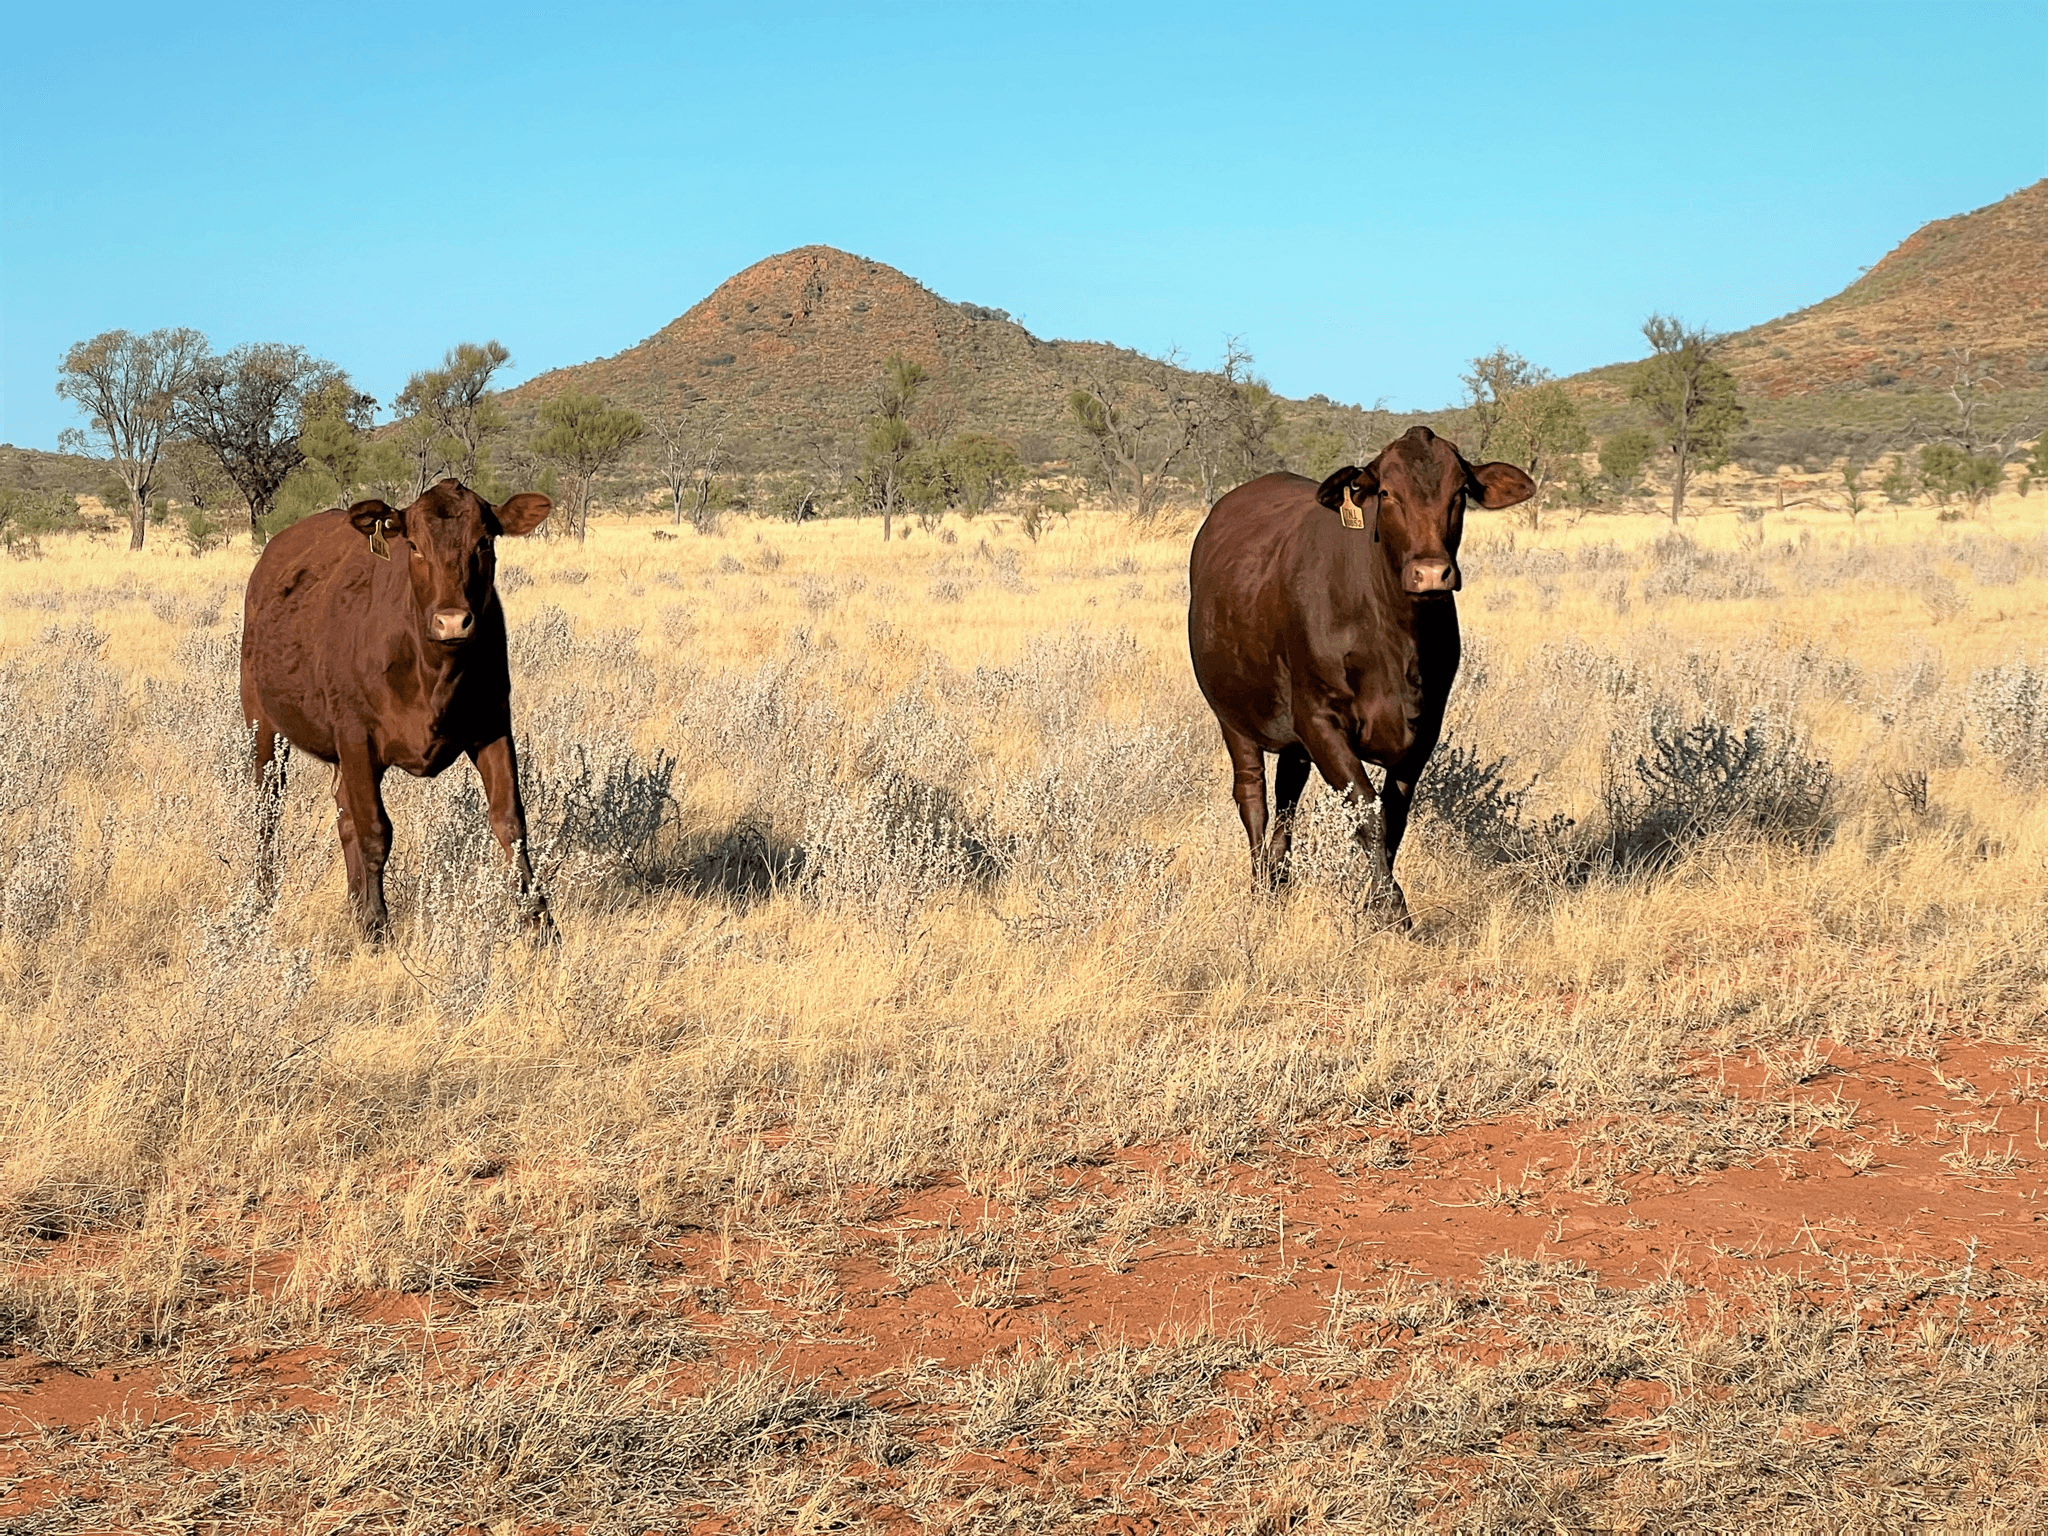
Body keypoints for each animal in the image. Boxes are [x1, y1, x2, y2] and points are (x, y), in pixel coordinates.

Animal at [240, 481, 557, 946]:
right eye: (414, 545)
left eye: (484, 542)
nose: (452, 622)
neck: (434, 673)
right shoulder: (356, 735)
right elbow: (375, 831)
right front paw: (376, 924)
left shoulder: (494, 726)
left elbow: (510, 823)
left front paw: (539, 921)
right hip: (263, 724)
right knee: (268, 809)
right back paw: (262, 900)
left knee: (344, 815)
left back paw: (353, 903)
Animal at [1187, 428, 1540, 921]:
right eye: (1387, 494)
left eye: (1459, 493)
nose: (1431, 573)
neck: (1395, 637)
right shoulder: (1320, 720)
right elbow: (1368, 811)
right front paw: (1391, 908)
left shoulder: (1425, 728)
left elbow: (1394, 815)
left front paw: (1375, 900)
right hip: (1233, 714)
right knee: (1253, 796)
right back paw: (1260, 885)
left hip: (1292, 740)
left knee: (1288, 796)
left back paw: (1279, 878)